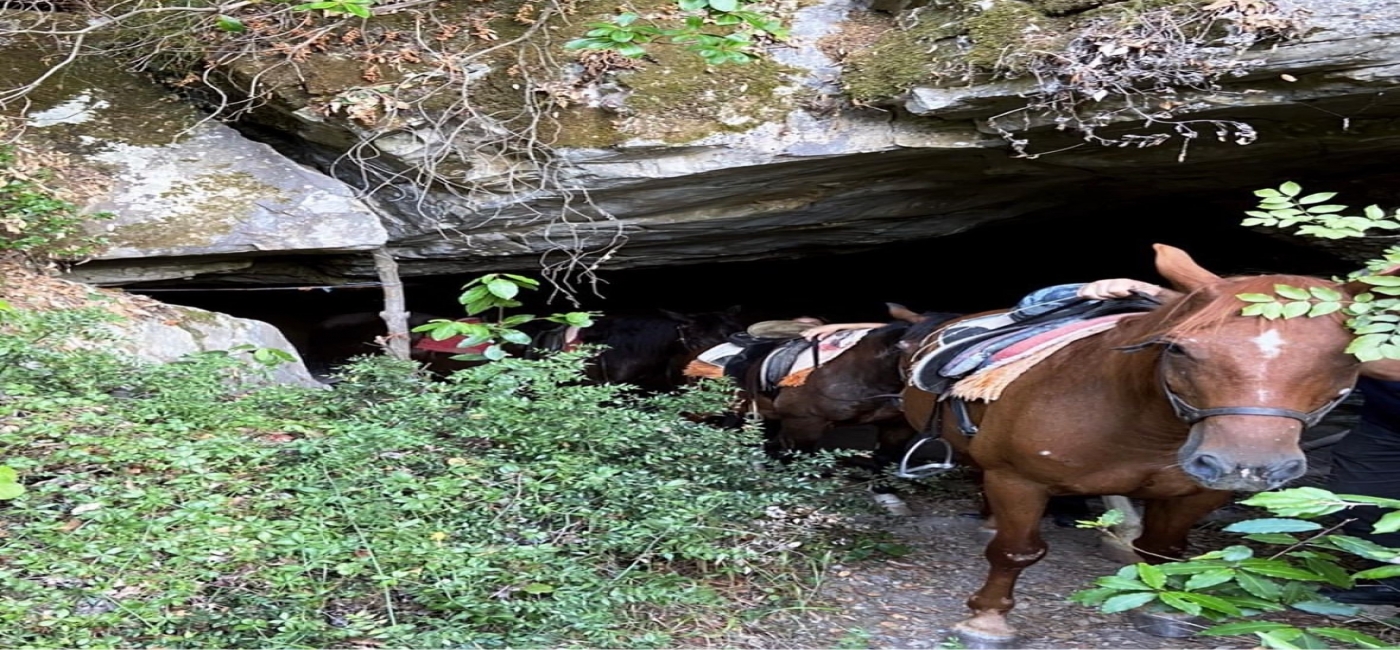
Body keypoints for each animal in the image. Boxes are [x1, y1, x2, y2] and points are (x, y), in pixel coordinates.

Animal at [901, 245, 1372, 650]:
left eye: (1348, 359)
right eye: (1179, 348)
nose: (1247, 465)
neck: (1142, 423)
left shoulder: (1199, 494)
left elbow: (1164, 550)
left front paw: (1164, 606)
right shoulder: (1019, 480)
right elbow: (1014, 553)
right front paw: (987, 621)